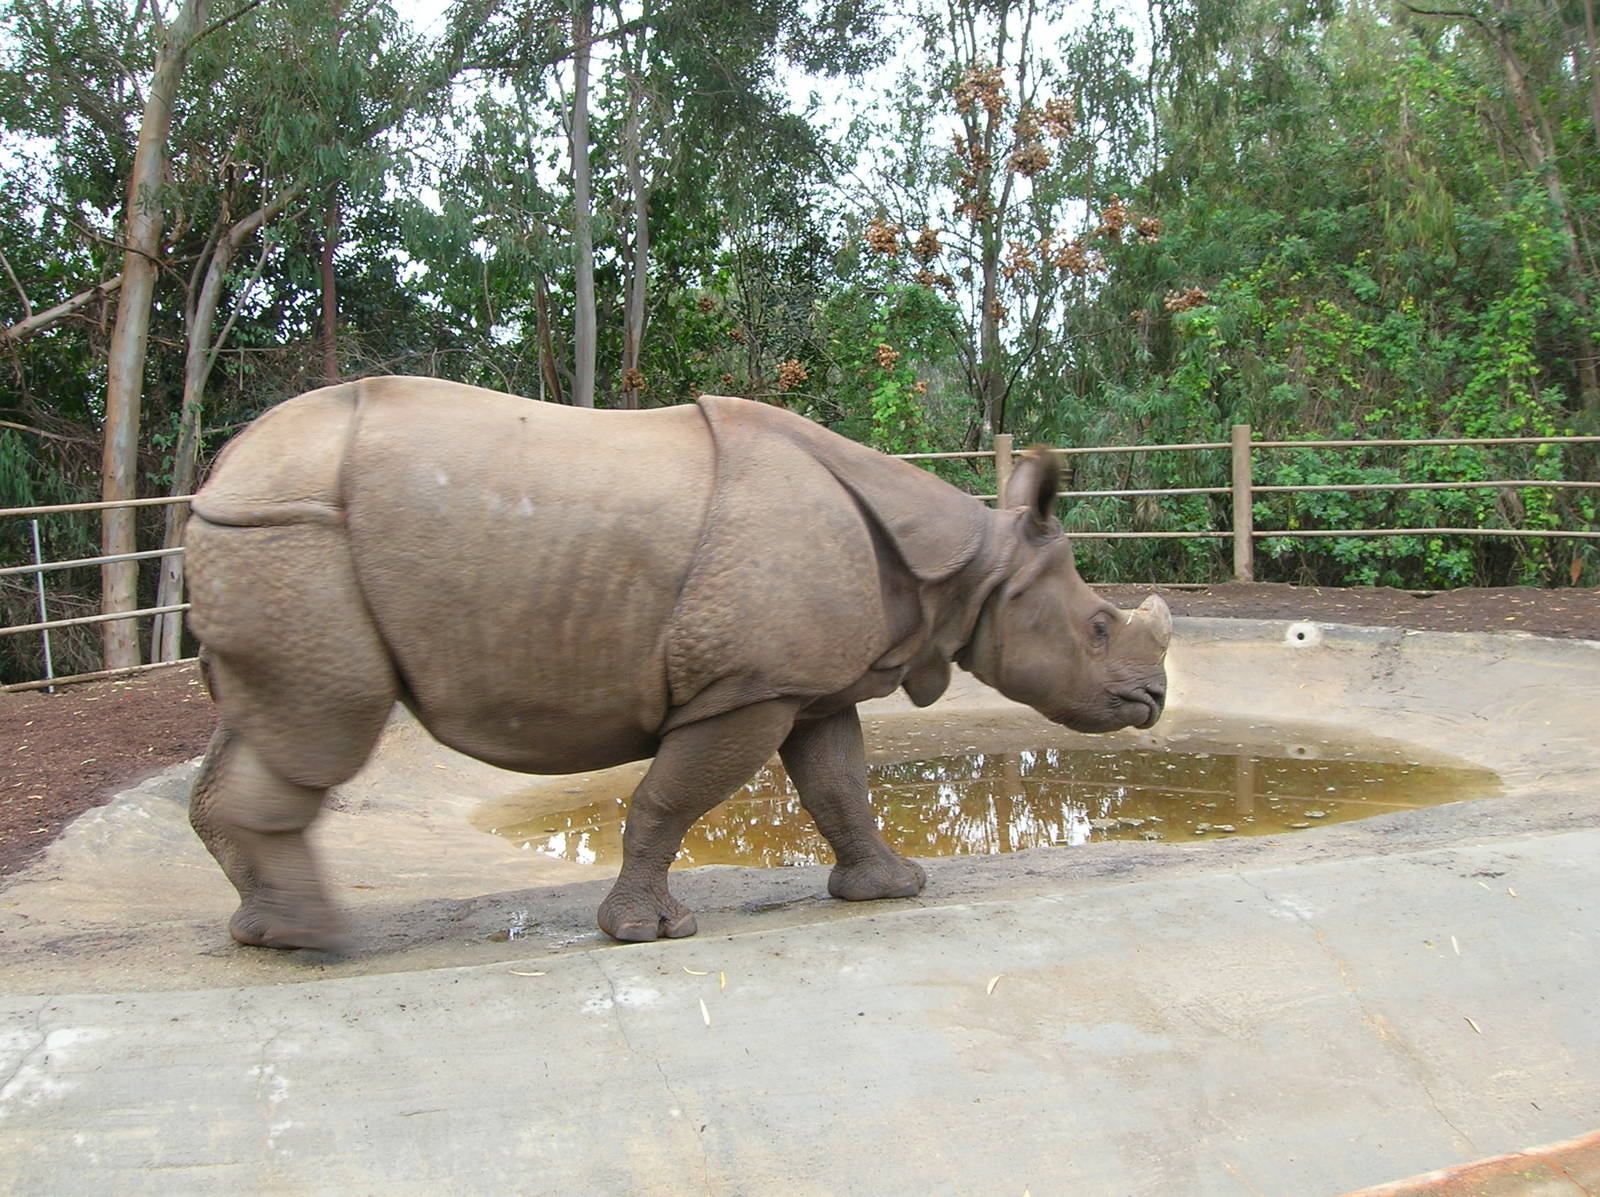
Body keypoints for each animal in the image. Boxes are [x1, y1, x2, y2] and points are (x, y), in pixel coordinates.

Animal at [184, 377, 1170, 949]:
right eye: (1097, 627)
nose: (1155, 696)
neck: (968, 570)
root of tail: (219, 469)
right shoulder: (745, 689)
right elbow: (670, 799)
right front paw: (650, 934)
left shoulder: (805, 685)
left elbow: (839, 785)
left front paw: (891, 888)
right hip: (294, 529)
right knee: (324, 729)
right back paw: (321, 939)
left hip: (270, 529)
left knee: (263, 725)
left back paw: (268, 932)